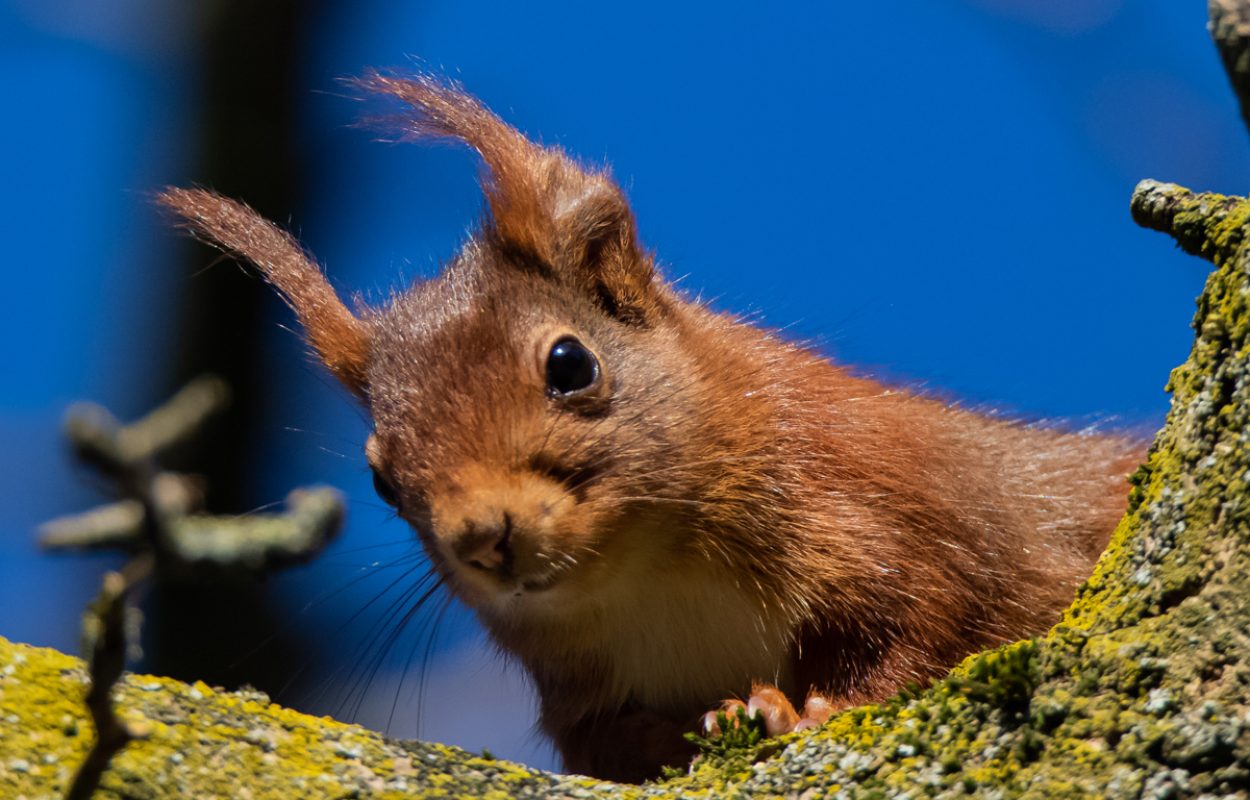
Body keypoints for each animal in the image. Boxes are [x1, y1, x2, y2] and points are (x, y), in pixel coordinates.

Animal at [161, 73, 1145, 780]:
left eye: (569, 364)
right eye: (379, 477)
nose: (482, 536)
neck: (651, 577)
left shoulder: (899, 518)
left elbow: (924, 627)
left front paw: (802, 709)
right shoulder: (578, 690)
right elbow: (605, 746)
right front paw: (701, 730)